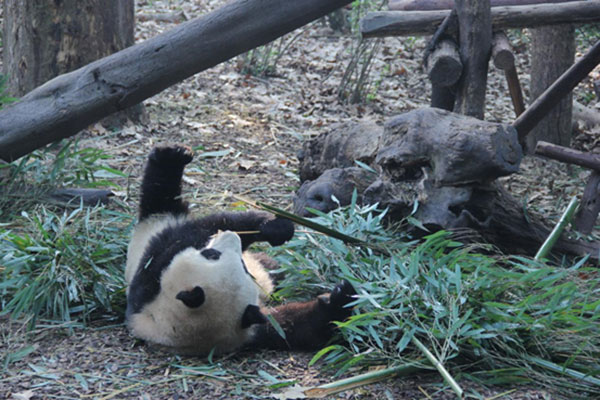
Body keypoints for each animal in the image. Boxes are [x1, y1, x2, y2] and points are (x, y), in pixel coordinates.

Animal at [124, 145, 354, 354]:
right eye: (211, 254)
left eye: (244, 267)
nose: (231, 237)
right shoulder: (146, 282)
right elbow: (192, 232)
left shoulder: (253, 331)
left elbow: (299, 326)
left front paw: (341, 298)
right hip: (153, 227)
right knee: (160, 199)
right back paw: (172, 157)